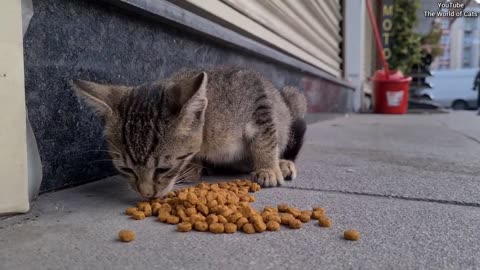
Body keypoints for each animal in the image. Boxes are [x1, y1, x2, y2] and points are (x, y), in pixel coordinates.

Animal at [74, 67, 308, 198]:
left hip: (294, 98)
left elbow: (265, 139)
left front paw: (268, 168)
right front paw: (193, 168)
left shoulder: (257, 96)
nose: (147, 195)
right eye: (125, 169)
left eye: (163, 169)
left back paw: (282, 164)